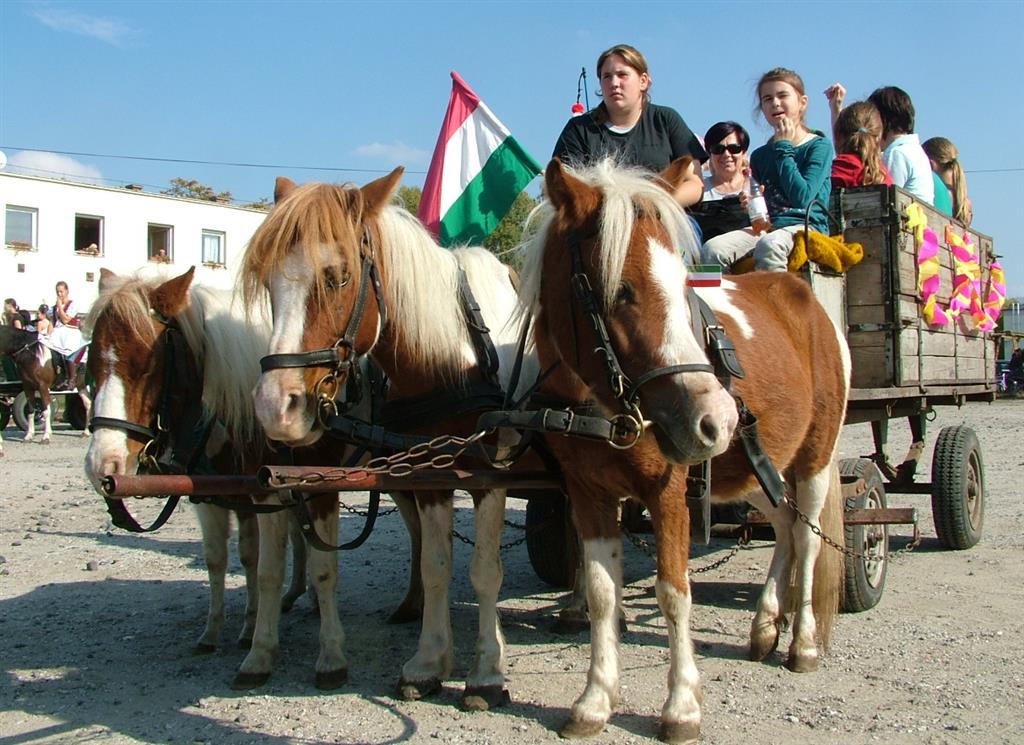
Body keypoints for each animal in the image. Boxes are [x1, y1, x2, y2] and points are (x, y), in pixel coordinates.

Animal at [82, 268, 421, 689]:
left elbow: (322, 569)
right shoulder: (237, 494)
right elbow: (244, 564)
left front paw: (330, 657)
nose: (102, 464)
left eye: (147, 363)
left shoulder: (317, 489)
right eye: (91, 364)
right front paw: (244, 642)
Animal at [240, 169, 536, 709]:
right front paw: (429, 661)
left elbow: (485, 571)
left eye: (337, 276)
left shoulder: (488, 473)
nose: (276, 406)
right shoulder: (429, 473)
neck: (452, 354)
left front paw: (486, 671)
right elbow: (438, 563)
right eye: (268, 283)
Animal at [516, 158, 848, 742]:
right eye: (621, 289)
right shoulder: (589, 495)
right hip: (755, 472)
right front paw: (596, 700)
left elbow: (674, 592)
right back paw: (766, 625)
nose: (716, 420)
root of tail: (803, 298)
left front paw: (681, 706)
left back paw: (802, 643)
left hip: (813, 461)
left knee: (808, 542)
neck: (603, 405)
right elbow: (601, 591)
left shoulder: (670, 492)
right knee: (785, 529)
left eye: (683, 282)